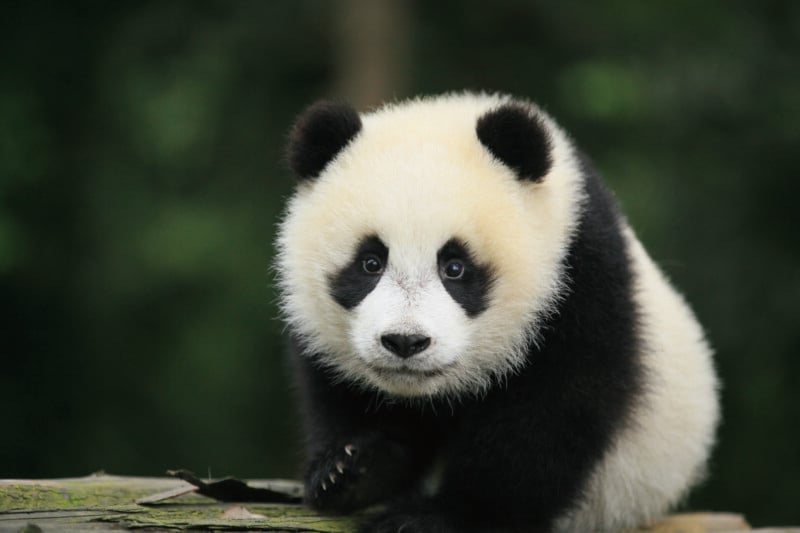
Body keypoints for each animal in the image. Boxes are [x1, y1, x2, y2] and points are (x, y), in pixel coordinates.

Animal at [275, 93, 719, 533]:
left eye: (455, 267)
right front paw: (348, 469)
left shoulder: (578, 278)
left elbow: (552, 410)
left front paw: (442, 515)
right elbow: (342, 396)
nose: (405, 341)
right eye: (370, 262)